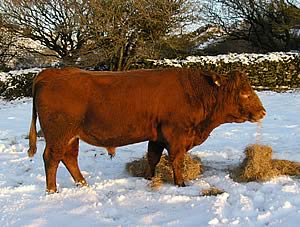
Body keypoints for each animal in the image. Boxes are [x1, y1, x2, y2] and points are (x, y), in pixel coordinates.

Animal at [27, 66, 266, 192]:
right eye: (244, 93)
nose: (263, 112)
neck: (195, 93)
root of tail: (51, 72)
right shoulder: (176, 135)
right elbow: (176, 160)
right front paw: (181, 183)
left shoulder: (157, 137)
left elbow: (153, 157)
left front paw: (149, 178)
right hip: (59, 135)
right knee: (51, 159)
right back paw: (52, 190)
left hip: (71, 137)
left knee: (69, 158)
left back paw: (83, 183)